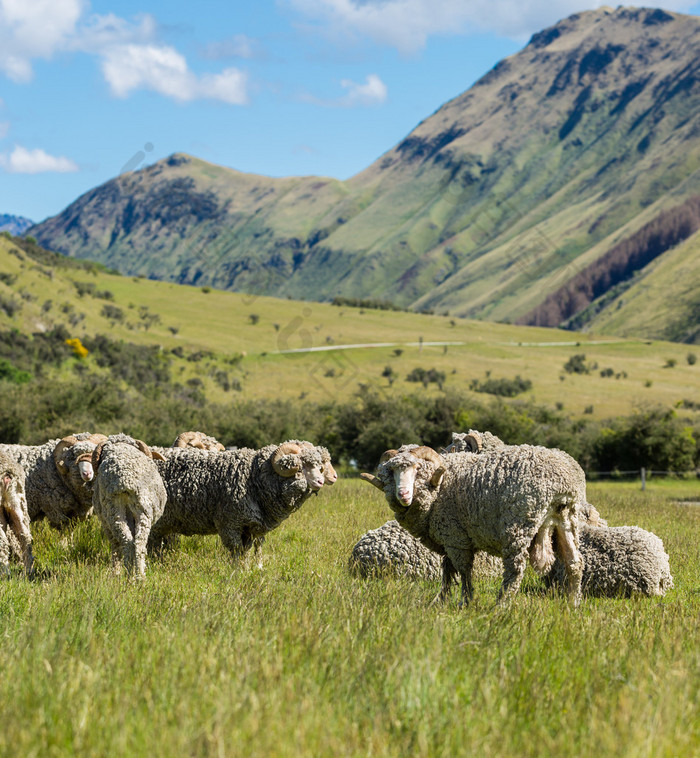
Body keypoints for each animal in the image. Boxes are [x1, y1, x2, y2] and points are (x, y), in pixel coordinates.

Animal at [91, 434, 167, 580]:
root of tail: (124, 477)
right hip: (141, 509)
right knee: (136, 543)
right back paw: (137, 575)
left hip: (115, 511)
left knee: (128, 542)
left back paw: (132, 576)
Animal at [147, 442, 330, 568]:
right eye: (301, 467)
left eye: (318, 466)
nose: (321, 482)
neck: (253, 477)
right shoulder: (230, 523)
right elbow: (236, 550)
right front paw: (236, 571)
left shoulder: (248, 526)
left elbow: (245, 551)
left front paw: (246, 569)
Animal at [364, 442, 588, 608]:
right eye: (391, 471)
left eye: (417, 469)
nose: (403, 494)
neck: (441, 484)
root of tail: (563, 482)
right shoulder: (450, 537)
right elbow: (447, 571)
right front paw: (441, 600)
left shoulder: (456, 538)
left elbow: (464, 571)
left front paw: (466, 601)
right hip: (566, 519)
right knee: (574, 563)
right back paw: (573, 603)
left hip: (519, 523)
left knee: (515, 569)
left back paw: (501, 605)